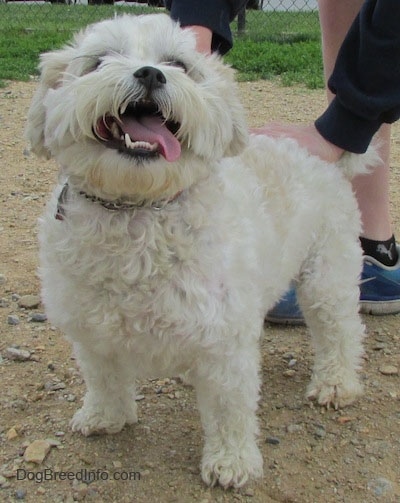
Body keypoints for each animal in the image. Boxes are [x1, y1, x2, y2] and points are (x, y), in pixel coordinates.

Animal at [26, 13, 374, 490]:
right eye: (99, 61)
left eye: (178, 64)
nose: (150, 74)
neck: (137, 210)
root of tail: (322, 156)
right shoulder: (92, 329)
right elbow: (104, 377)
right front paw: (105, 416)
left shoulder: (226, 338)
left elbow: (230, 407)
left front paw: (232, 462)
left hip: (328, 276)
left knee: (341, 331)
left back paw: (337, 383)